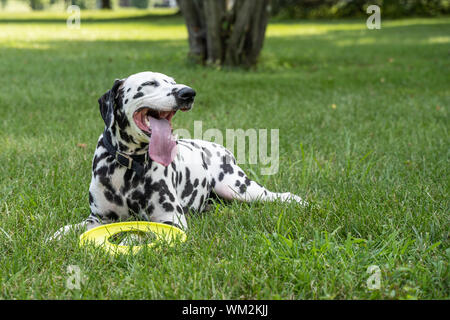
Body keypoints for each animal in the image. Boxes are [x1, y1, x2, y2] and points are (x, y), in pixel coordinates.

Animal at [51, 70, 306, 240]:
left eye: (173, 83)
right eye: (150, 83)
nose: (188, 93)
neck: (129, 168)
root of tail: (219, 147)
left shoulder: (170, 220)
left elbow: (140, 233)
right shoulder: (98, 219)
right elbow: (71, 227)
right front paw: (55, 236)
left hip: (239, 188)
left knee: (275, 195)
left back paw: (298, 201)